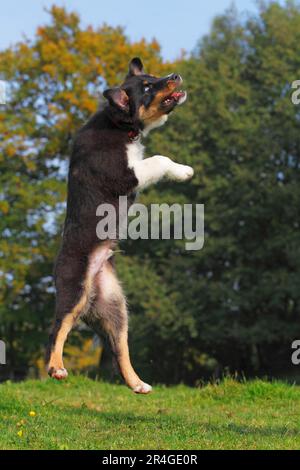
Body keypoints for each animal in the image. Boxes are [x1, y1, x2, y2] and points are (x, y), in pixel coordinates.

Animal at [45, 57, 193, 392]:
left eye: (154, 76)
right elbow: (159, 160)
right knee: (57, 329)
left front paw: (185, 170)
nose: (176, 75)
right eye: (148, 88)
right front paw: (185, 171)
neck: (121, 127)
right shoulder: (124, 174)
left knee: (119, 348)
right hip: (73, 288)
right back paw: (56, 368)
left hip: (116, 306)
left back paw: (137, 384)